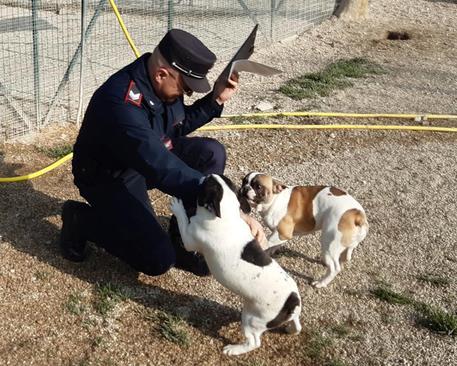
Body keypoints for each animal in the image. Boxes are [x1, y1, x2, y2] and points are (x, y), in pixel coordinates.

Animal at [169, 174, 302, 354]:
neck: (227, 214)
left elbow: (183, 222)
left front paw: (178, 208)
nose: (206, 175)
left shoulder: (190, 239)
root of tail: (292, 302)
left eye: (206, 184)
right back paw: (291, 328)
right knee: (297, 324)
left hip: (251, 319)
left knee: (253, 342)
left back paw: (234, 350)